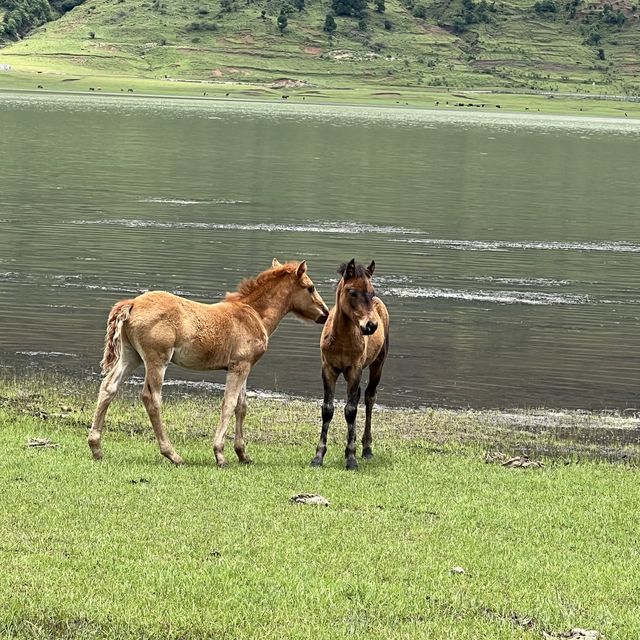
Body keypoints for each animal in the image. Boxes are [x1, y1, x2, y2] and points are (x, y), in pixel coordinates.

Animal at [89, 258, 330, 464]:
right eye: (310, 287)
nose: (326, 314)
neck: (254, 314)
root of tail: (132, 303)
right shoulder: (239, 367)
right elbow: (229, 404)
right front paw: (220, 454)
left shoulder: (244, 366)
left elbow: (242, 406)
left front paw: (242, 454)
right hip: (157, 359)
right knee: (151, 398)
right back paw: (173, 454)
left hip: (131, 356)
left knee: (109, 387)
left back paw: (95, 446)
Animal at [312, 258, 390, 470]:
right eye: (353, 292)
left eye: (371, 292)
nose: (371, 326)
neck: (341, 340)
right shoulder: (328, 369)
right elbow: (328, 409)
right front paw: (318, 456)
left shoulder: (354, 370)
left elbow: (351, 410)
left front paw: (351, 458)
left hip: (378, 363)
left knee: (369, 397)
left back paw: (367, 448)